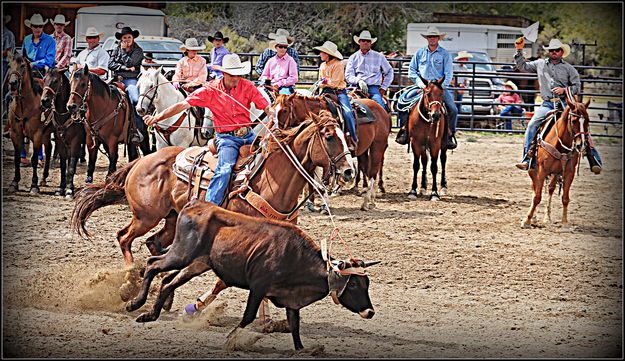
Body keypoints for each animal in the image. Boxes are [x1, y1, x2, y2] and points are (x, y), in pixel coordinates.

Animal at [4, 50, 53, 194]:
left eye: (22, 66)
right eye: (9, 65)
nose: (13, 83)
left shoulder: (37, 135)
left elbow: (35, 158)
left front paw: (34, 185)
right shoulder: (15, 134)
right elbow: (16, 157)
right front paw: (14, 182)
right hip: (46, 134)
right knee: (49, 148)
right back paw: (44, 178)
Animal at [40, 67, 86, 197]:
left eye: (56, 81)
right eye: (44, 79)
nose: (44, 101)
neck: (65, 114)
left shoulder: (75, 141)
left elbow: (70, 166)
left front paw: (70, 189)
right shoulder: (60, 140)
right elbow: (63, 165)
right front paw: (61, 187)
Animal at [70, 110, 354, 304]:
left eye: (345, 136)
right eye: (329, 137)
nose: (349, 171)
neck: (270, 182)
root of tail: (142, 160)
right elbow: (223, 280)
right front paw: (198, 306)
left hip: (171, 218)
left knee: (153, 243)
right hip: (146, 216)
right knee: (124, 237)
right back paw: (129, 283)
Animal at [520, 89, 592, 231]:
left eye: (587, 120)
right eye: (574, 121)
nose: (581, 145)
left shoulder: (569, 172)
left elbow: (565, 198)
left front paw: (564, 223)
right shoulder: (542, 170)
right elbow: (537, 196)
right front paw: (527, 220)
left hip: (556, 173)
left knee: (551, 189)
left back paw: (547, 217)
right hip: (532, 170)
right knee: (534, 188)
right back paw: (534, 217)